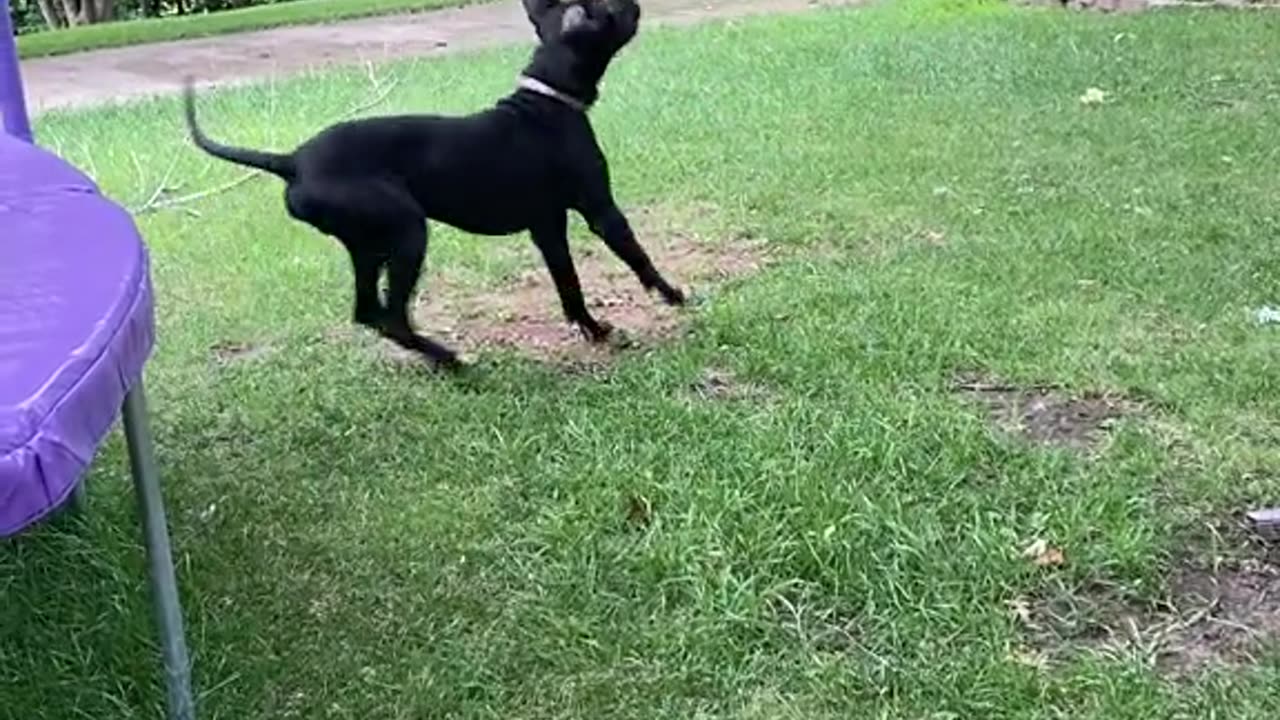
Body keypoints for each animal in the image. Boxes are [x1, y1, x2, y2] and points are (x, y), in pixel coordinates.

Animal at [184, 0, 686, 368]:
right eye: (609, 7)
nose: (635, 2)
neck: (547, 98)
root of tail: (291, 162)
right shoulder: (599, 208)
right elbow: (636, 254)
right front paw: (672, 295)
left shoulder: (547, 226)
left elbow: (569, 284)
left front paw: (593, 329)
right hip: (407, 231)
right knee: (393, 317)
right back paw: (452, 360)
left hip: (368, 245)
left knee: (369, 312)